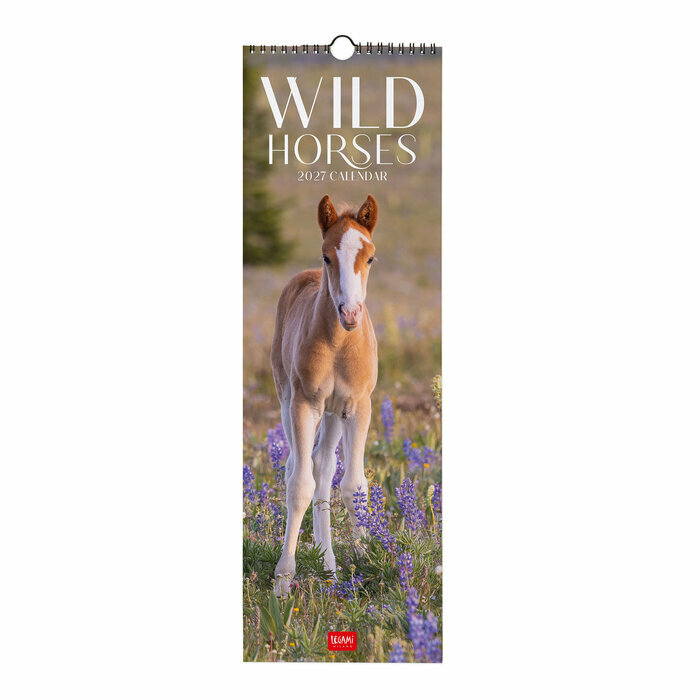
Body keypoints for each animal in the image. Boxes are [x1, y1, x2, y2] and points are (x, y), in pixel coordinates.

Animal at [270, 194, 379, 596]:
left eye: (370, 257)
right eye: (327, 256)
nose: (350, 313)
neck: (339, 343)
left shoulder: (359, 407)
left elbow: (353, 485)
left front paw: (370, 562)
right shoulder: (305, 404)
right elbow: (299, 485)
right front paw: (283, 580)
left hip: (333, 413)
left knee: (323, 465)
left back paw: (329, 566)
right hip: (287, 398)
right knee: (300, 467)